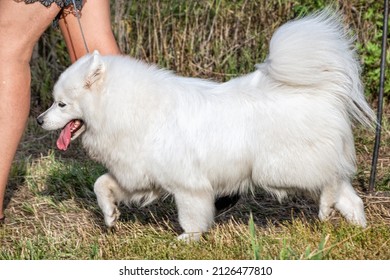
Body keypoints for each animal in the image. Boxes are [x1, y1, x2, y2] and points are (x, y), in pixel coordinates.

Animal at [37, 10, 374, 241]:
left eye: (61, 104)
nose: (40, 120)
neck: (127, 108)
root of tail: (320, 90)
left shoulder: (189, 185)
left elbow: (192, 216)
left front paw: (188, 239)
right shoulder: (139, 176)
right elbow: (101, 184)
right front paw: (110, 215)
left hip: (279, 168)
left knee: (331, 181)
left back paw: (327, 209)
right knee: (348, 194)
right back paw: (356, 226)